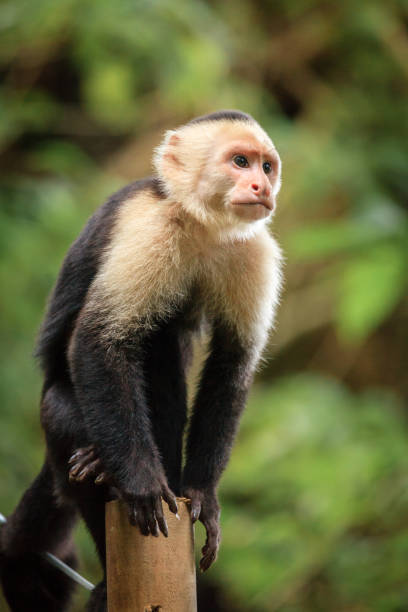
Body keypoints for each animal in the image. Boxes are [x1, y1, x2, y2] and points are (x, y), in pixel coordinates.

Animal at [0, 111, 280, 612]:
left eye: (266, 167)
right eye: (240, 161)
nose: (260, 186)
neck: (201, 225)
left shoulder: (254, 251)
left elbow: (231, 366)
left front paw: (203, 495)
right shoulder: (149, 227)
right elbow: (99, 340)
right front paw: (140, 482)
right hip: (60, 426)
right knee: (70, 410)